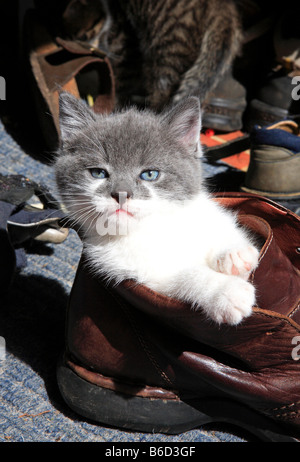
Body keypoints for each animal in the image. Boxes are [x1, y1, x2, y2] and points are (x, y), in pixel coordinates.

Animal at [54, 93, 258, 324]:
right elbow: (181, 277)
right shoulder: (140, 276)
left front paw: (235, 253)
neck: (154, 228)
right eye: (98, 173)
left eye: (150, 174)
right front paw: (225, 291)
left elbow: (224, 227)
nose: (121, 193)